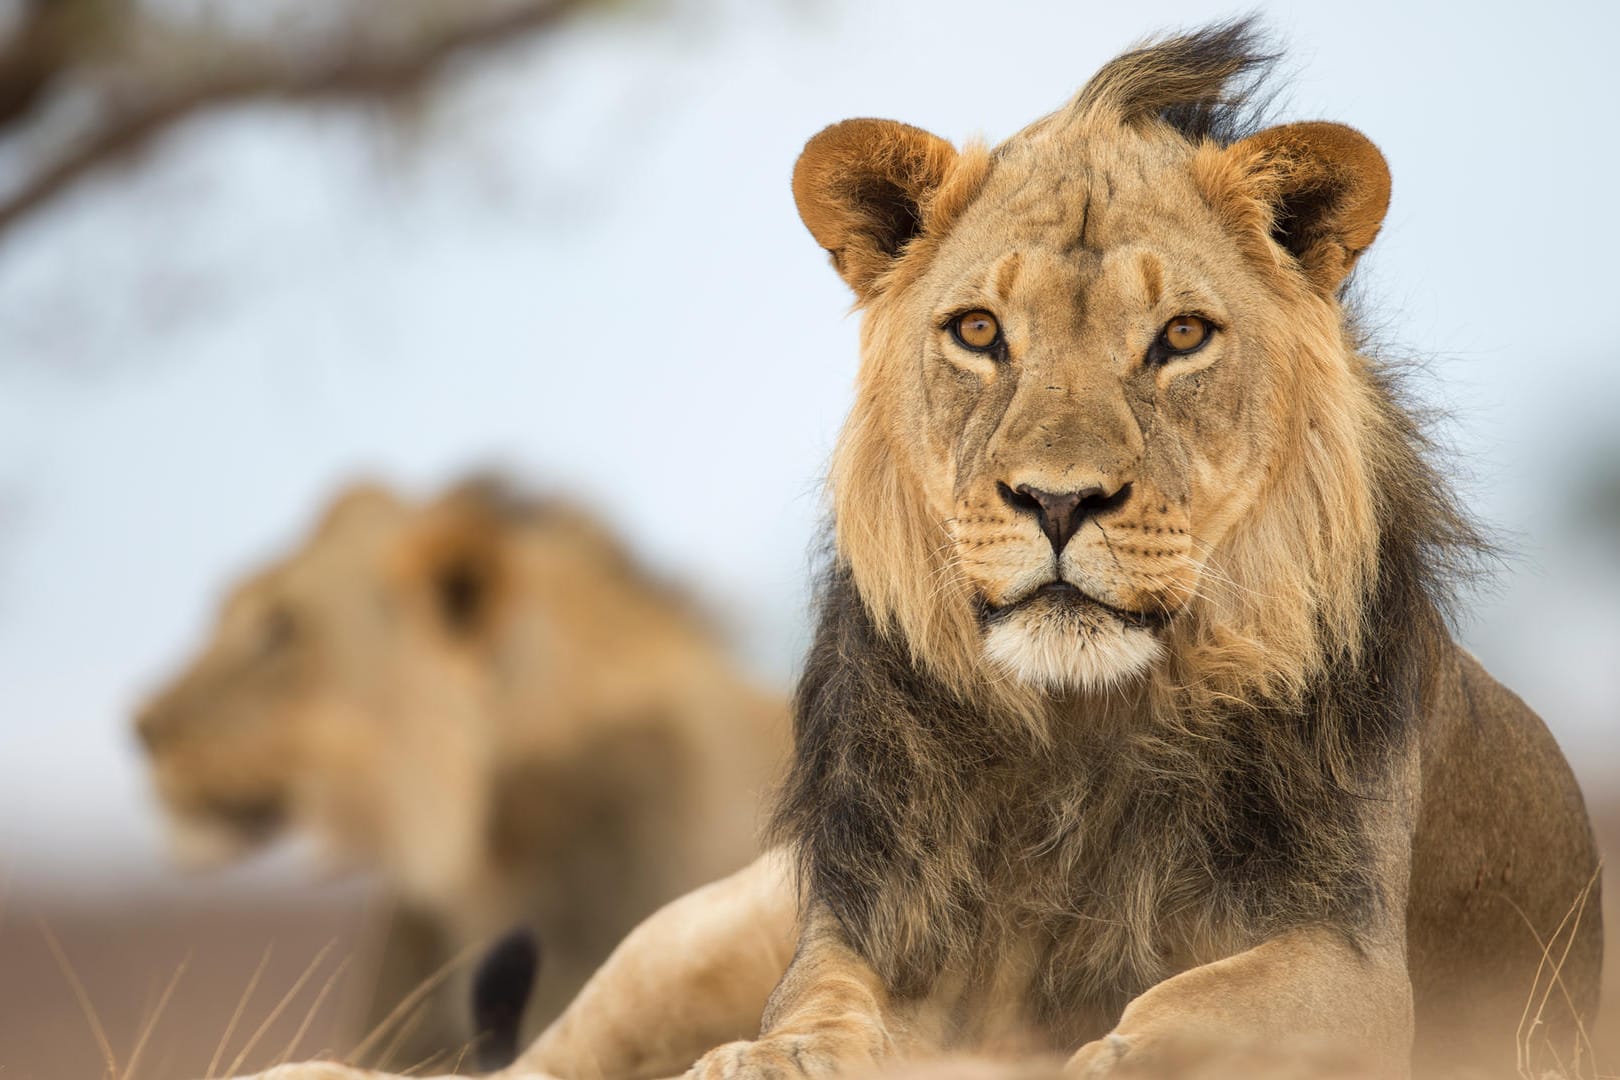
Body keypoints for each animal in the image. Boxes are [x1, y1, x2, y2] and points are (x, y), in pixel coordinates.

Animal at [231, 14, 1607, 1080]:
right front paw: (778, 1056)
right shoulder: (859, 925)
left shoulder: (1358, 965)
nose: (1058, 500)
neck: (1079, 740)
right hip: (699, 927)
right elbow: (819, 1008)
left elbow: (1199, 1006)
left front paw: (1110, 1052)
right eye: (981, 332)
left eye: (1181, 337)